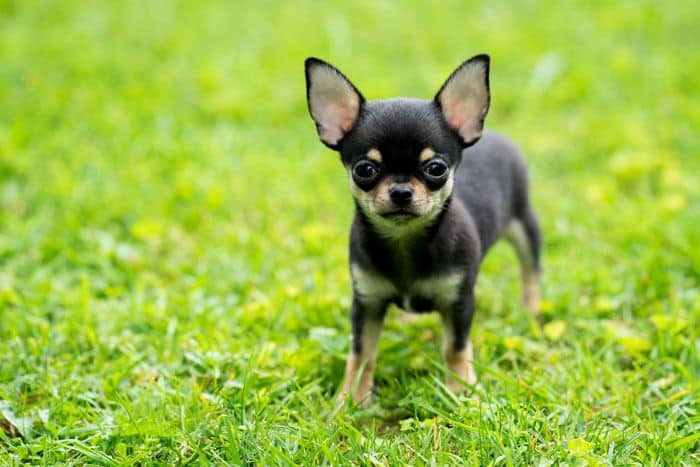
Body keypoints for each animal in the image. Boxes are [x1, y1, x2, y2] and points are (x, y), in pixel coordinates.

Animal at [304, 55, 540, 406]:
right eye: (365, 170)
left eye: (436, 168)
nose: (401, 191)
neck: (404, 241)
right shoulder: (367, 302)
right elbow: (361, 354)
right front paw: (352, 399)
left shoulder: (458, 301)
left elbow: (455, 349)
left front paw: (460, 392)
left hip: (525, 224)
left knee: (531, 272)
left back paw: (532, 312)